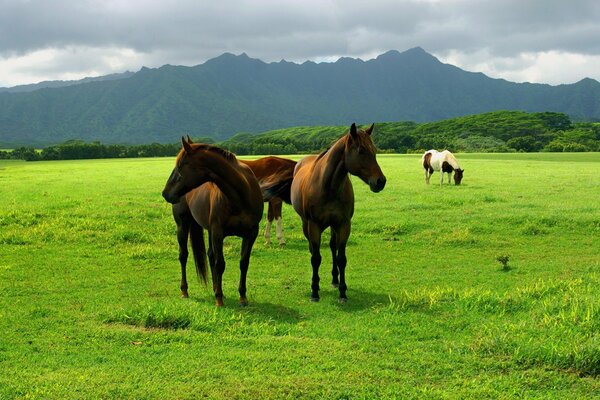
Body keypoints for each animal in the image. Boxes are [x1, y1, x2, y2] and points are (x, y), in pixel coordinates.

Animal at [162, 138, 262, 306]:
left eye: (181, 166)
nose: (165, 193)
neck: (241, 196)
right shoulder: (218, 232)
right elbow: (220, 263)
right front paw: (219, 299)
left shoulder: (251, 233)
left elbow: (243, 263)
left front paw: (242, 297)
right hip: (183, 226)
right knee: (184, 256)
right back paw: (185, 291)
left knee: (209, 255)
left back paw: (215, 288)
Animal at [290, 123, 384, 302]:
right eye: (361, 150)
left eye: (375, 150)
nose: (380, 181)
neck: (328, 186)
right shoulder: (314, 225)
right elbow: (316, 258)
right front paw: (314, 291)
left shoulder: (343, 224)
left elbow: (341, 258)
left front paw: (342, 291)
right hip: (306, 224)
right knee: (313, 250)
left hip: (333, 226)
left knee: (333, 247)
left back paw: (334, 279)